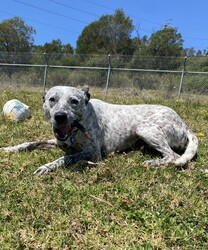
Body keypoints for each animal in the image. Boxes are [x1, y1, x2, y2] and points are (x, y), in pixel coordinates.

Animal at [0, 86, 198, 174]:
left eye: (74, 101)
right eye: (52, 99)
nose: (60, 116)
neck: (76, 130)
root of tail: (185, 125)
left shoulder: (93, 152)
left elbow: (67, 157)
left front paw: (48, 166)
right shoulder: (58, 141)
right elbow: (29, 143)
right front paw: (9, 149)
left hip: (146, 130)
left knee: (173, 156)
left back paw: (153, 162)